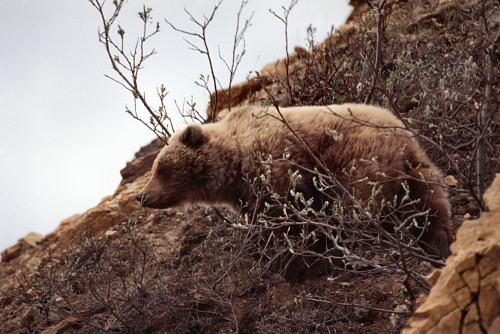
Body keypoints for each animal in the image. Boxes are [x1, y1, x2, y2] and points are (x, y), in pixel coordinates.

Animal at [137, 103, 454, 253]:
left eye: (161, 169)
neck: (233, 163)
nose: (142, 196)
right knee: (430, 197)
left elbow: (282, 213)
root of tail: (398, 132)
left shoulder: (274, 165)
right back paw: (432, 235)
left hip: (355, 156)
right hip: (417, 164)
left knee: (359, 198)